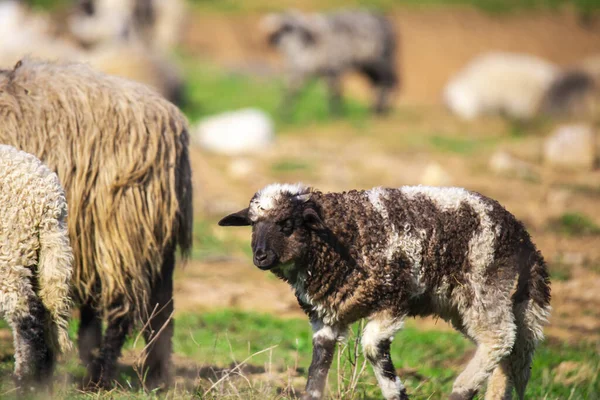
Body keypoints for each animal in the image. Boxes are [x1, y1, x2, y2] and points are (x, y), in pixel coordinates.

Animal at [0, 145, 73, 394]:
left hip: (11, 246)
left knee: (27, 314)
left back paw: (26, 383)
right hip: (38, 252)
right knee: (45, 310)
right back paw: (42, 380)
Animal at [218, 183, 552, 398]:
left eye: (287, 224)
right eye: (252, 225)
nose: (260, 256)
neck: (345, 234)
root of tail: (524, 238)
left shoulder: (392, 298)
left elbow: (372, 348)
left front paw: (398, 393)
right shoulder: (326, 316)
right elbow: (318, 364)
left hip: (484, 286)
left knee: (499, 339)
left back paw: (461, 389)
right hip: (464, 303)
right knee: (506, 350)